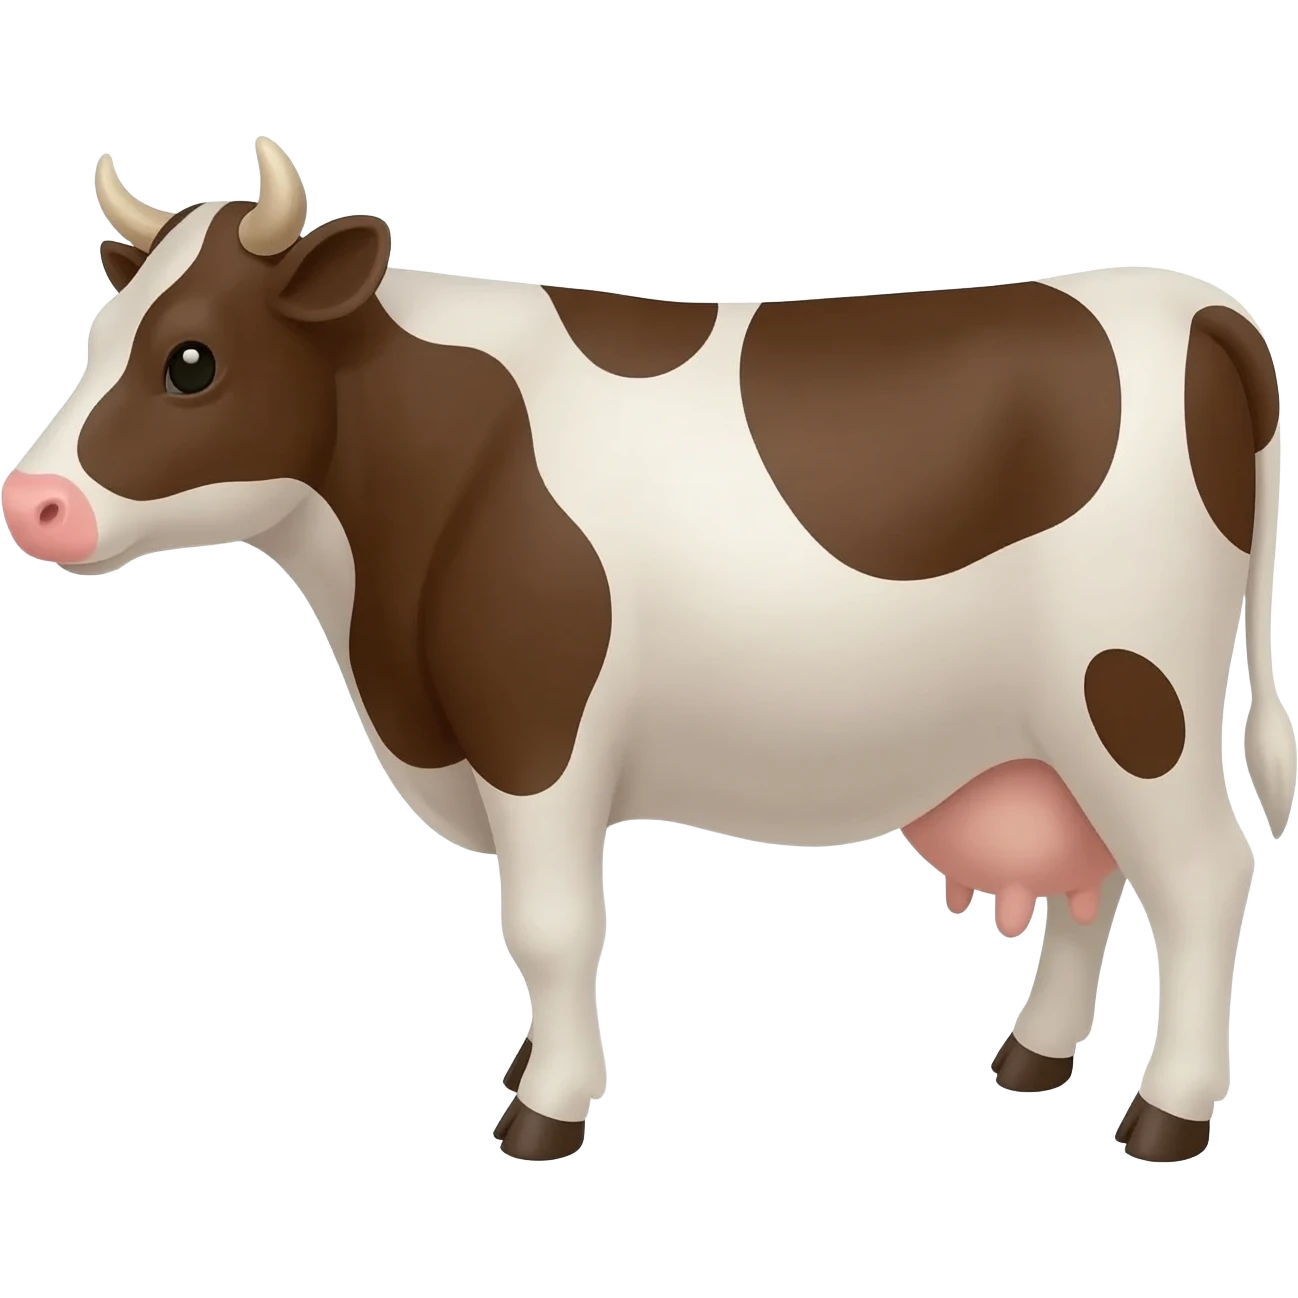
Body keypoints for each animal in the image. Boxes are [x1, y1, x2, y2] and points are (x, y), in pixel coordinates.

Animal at [3, 136, 1292, 1164]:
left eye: (190, 360)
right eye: (96, 333)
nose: (33, 501)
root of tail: (1194, 302)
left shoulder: (536, 730)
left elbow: (550, 924)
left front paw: (546, 1109)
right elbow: (536, 938)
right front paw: (528, 1067)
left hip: (1134, 691)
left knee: (1201, 873)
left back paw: (1166, 1112)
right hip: (1061, 727)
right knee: (1097, 875)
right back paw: (1032, 1055)